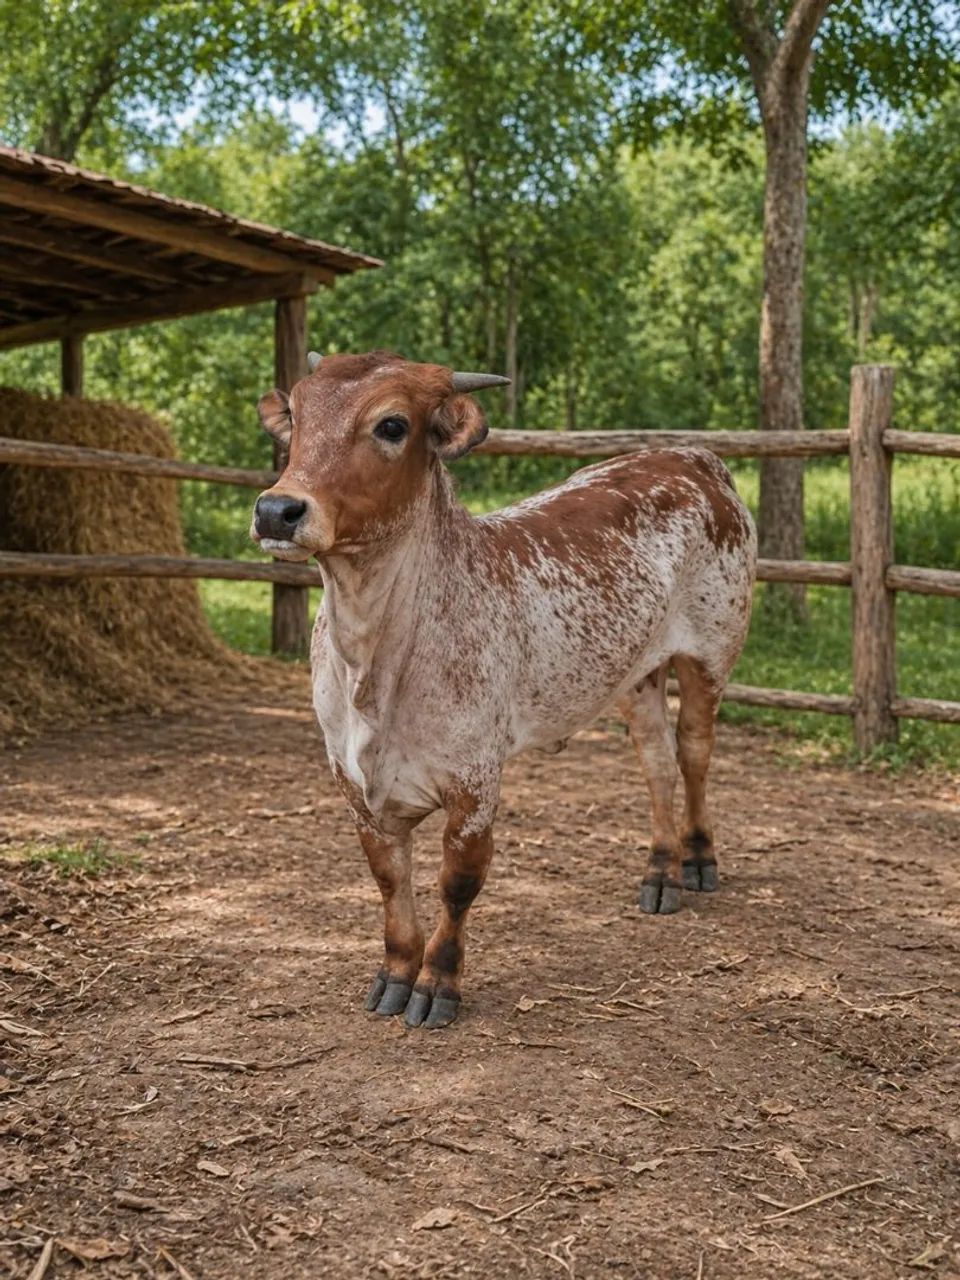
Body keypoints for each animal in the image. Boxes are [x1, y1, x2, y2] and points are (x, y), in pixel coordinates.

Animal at [251, 351, 757, 1029]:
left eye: (391, 425)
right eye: (298, 418)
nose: (277, 511)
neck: (373, 666)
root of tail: (694, 457)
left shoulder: (475, 783)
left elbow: (457, 883)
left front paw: (437, 985)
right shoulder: (353, 783)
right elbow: (390, 882)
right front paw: (394, 975)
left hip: (710, 652)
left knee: (695, 752)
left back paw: (699, 860)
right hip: (636, 673)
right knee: (656, 763)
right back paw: (660, 873)